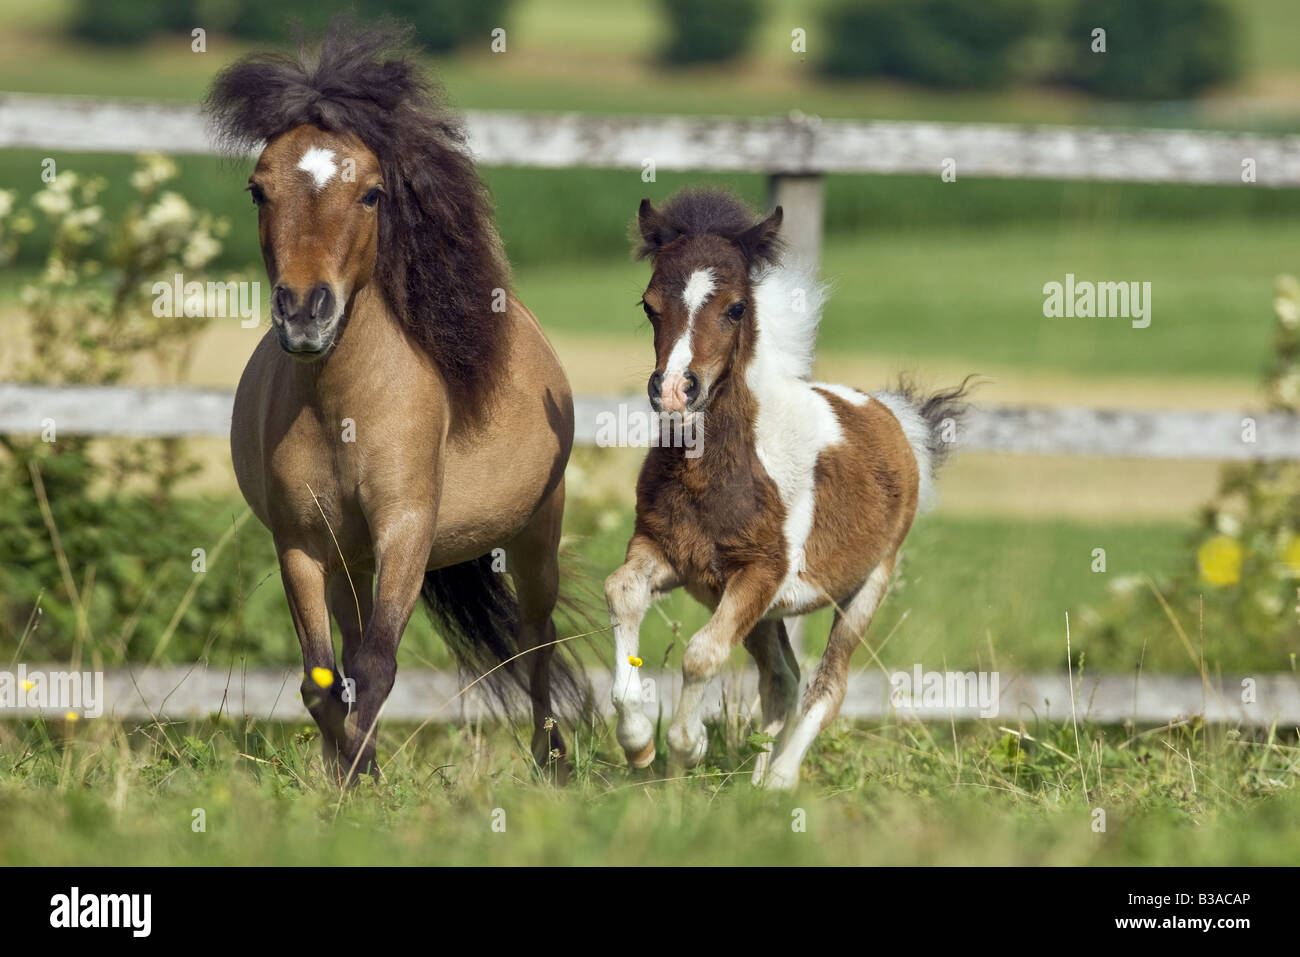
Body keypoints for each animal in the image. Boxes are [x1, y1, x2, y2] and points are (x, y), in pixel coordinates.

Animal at [206, 20, 581, 783]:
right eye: (259, 190)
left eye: (373, 193)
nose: (305, 313)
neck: (345, 409)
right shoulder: (304, 543)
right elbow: (324, 679)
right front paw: (353, 771)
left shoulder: (406, 530)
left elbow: (378, 665)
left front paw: (357, 774)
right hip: (352, 562)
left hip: (535, 536)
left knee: (538, 640)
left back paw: (550, 761)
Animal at [605, 187, 972, 789]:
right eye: (648, 305)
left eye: (735, 308)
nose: (677, 392)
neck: (717, 471)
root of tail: (896, 417)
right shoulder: (667, 552)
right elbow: (622, 592)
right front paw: (638, 742)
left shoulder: (760, 572)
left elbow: (702, 654)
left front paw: (687, 745)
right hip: (764, 612)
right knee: (783, 679)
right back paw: (755, 783)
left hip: (867, 585)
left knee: (828, 684)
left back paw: (779, 782)